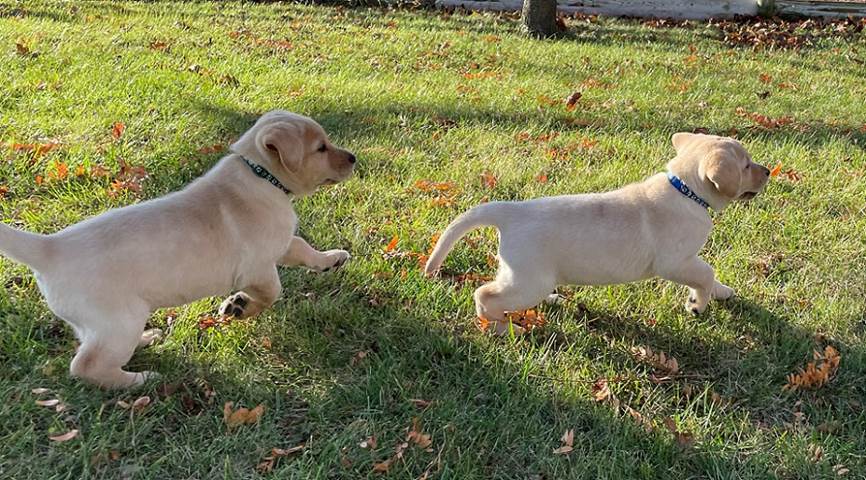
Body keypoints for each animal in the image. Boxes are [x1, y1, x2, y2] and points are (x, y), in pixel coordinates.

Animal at [0, 110, 354, 388]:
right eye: (321, 148)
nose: (353, 158)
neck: (261, 175)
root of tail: (49, 246)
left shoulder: (280, 243)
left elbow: (303, 247)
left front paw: (331, 259)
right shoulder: (257, 268)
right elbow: (272, 293)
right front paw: (239, 306)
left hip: (105, 324)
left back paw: (146, 340)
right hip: (119, 320)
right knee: (86, 366)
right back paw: (141, 380)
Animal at [426, 131, 768, 334]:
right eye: (746, 165)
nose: (767, 171)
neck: (685, 189)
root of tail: (509, 212)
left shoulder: (686, 260)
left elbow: (711, 275)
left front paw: (721, 292)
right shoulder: (676, 262)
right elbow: (706, 273)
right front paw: (698, 304)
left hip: (521, 276)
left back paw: (551, 301)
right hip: (528, 282)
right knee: (484, 295)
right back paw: (503, 328)